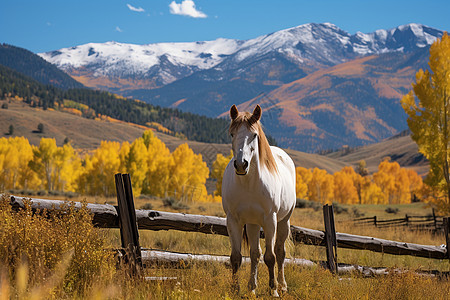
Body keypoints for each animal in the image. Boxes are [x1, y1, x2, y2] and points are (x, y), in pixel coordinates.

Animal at [221, 104, 296, 296]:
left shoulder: (270, 220)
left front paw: (273, 289)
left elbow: (271, 257)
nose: (241, 164)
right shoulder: (233, 220)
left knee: (280, 252)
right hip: (253, 224)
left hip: (283, 221)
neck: (249, 183)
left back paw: (282, 286)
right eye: (232, 133)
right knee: (255, 254)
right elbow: (236, 257)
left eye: (254, 135)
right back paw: (251, 288)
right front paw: (236, 290)